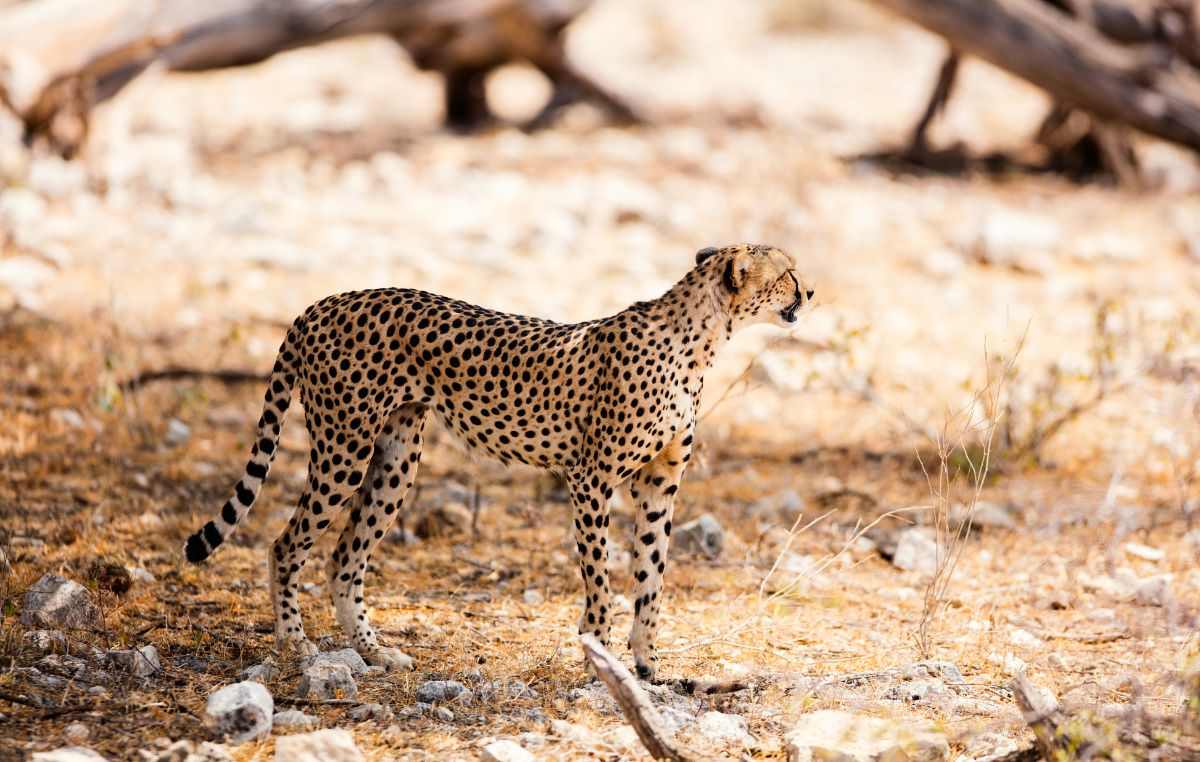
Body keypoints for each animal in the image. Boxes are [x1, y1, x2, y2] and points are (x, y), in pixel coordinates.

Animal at [182, 244, 811, 681]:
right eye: (787, 272)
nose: (809, 292)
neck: (700, 341)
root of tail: (324, 301)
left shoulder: (659, 484)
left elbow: (653, 577)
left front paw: (647, 667)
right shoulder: (591, 478)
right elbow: (601, 580)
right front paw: (597, 658)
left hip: (396, 460)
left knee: (344, 558)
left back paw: (375, 652)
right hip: (345, 447)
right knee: (287, 545)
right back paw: (294, 643)